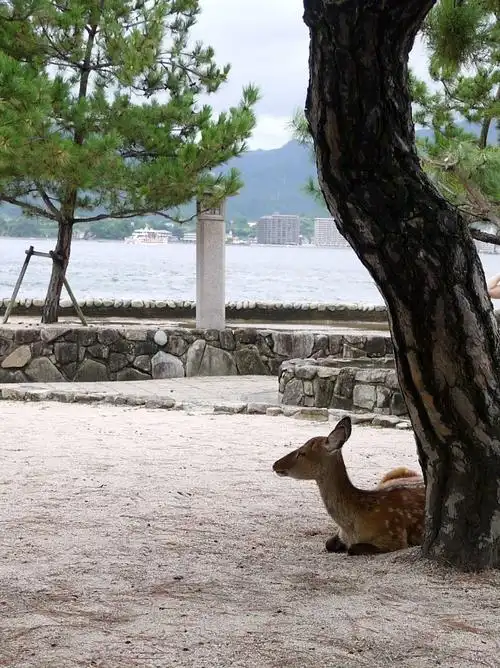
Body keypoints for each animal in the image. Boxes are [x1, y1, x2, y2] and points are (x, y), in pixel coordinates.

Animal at [272, 416, 426, 555]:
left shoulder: (395, 537)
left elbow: (352, 548)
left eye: (302, 453)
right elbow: (328, 543)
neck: (351, 527)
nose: (275, 464)